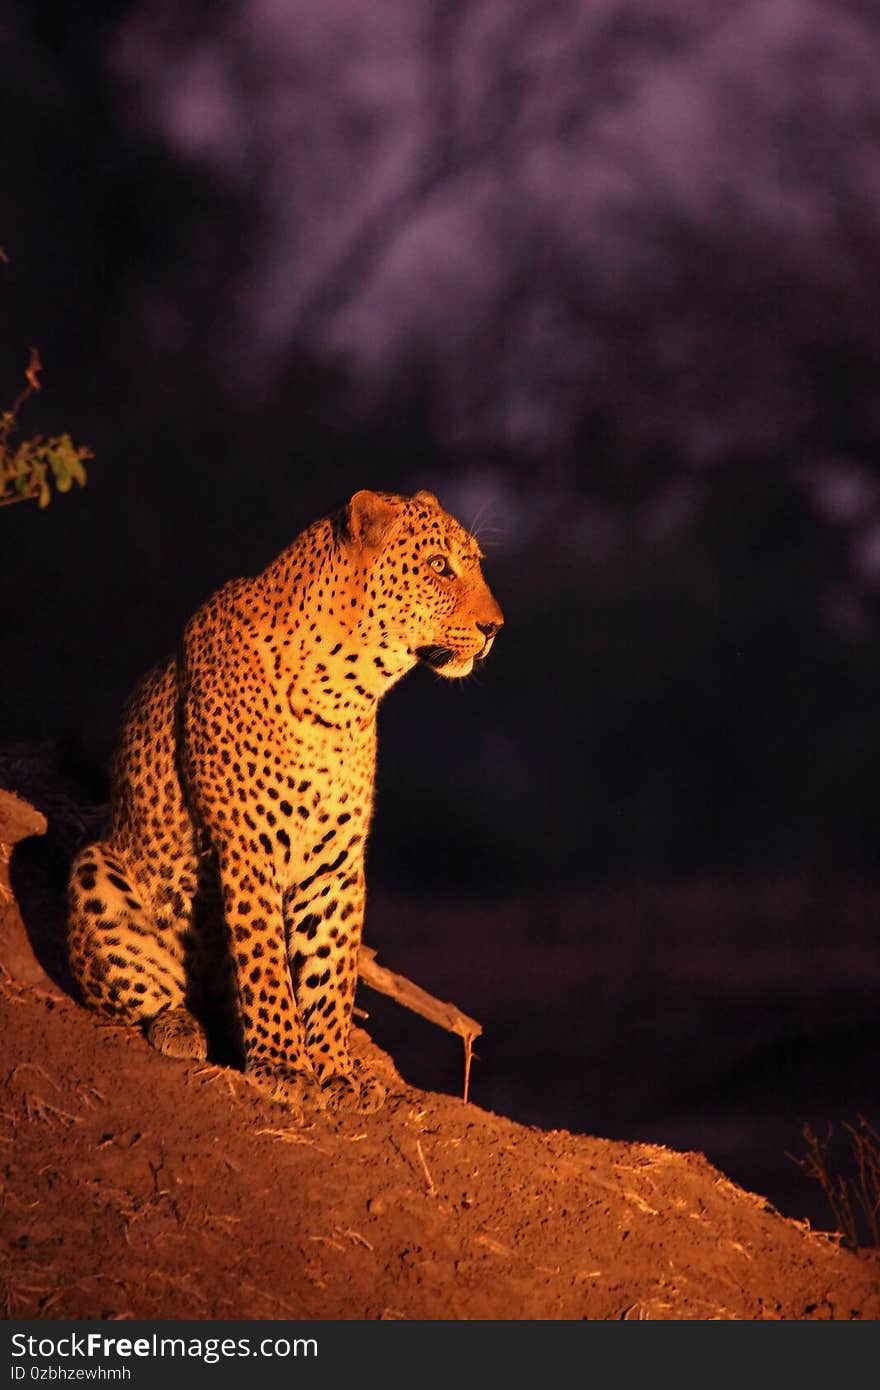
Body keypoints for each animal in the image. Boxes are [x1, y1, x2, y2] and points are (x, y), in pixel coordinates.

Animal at [67, 489, 500, 1117]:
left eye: (475, 563)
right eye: (440, 566)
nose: (495, 628)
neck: (344, 696)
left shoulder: (336, 860)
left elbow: (331, 968)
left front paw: (335, 1069)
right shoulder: (248, 847)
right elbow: (266, 957)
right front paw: (284, 1067)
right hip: (95, 867)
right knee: (139, 990)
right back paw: (181, 1024)